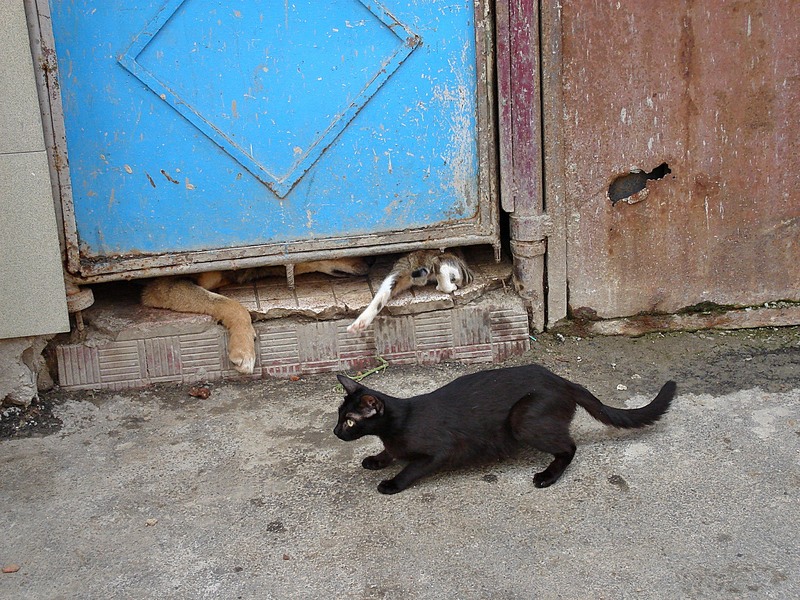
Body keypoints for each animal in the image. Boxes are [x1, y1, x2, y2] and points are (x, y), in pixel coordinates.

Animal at [334, 365, 676, 494]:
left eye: (349, 421)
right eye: (338, 417)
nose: (336, 432)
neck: (400, 421)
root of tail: (563, 381)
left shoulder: (439, 451)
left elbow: (411, 469)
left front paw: (391, 483)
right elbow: (390, 452)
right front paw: (376, 460)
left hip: (522, 421)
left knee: (569, 447)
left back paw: (547, 477)